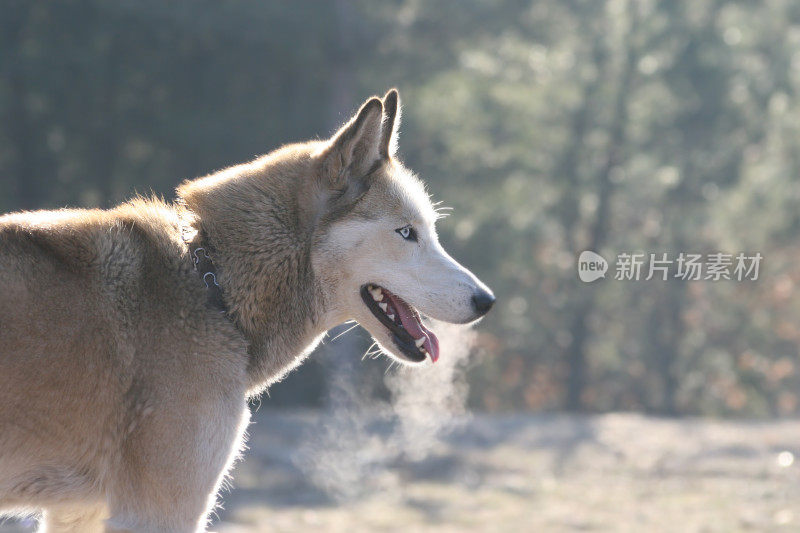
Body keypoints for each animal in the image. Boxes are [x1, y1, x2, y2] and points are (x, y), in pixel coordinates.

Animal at [0, 89, 494, 528]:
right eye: (407, 233)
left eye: (430, 230)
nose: (486, 301)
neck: (212, 287)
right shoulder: (156, 513)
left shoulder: (78, 512)